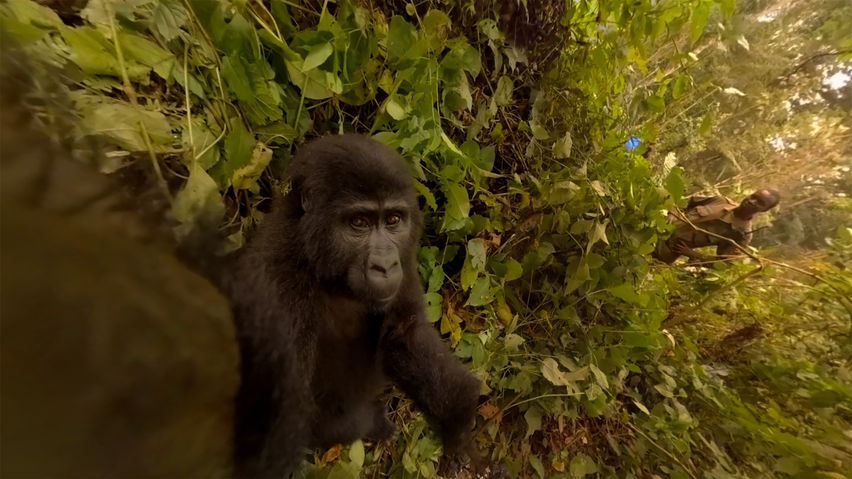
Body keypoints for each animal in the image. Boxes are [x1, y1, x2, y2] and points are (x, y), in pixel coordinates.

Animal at [226, 135, 495, 478]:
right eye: (359, 223)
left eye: (393, 220)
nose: (385, 265)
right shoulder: (277, 283)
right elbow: (282, 415)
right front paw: (375, 422)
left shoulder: (405, 258)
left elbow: (405, 336)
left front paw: (458, 426)